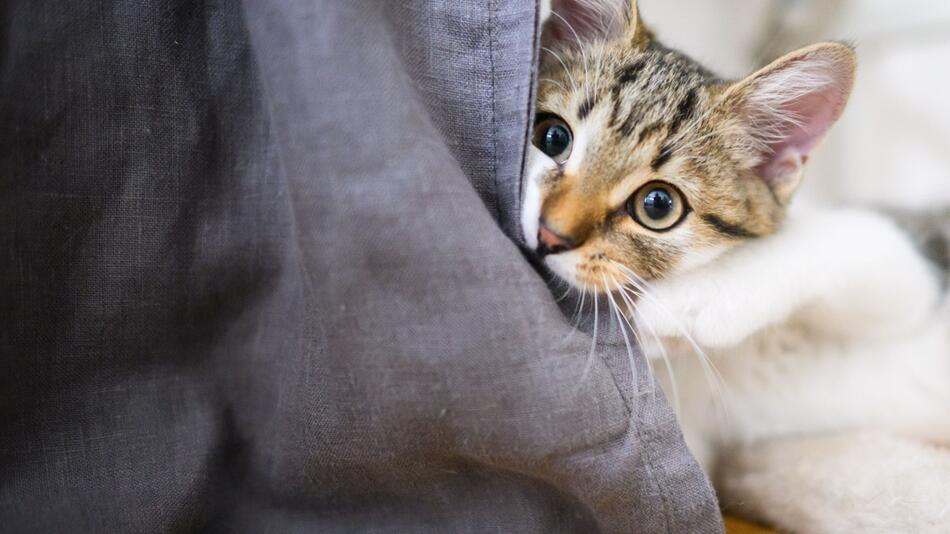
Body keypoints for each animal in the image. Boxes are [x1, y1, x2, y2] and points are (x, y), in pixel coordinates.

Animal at [528, 2, 950, 532]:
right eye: (552, 137)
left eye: (658, 205)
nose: (550, 234)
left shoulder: (910, 271)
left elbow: (849, 241)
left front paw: (685, 304)